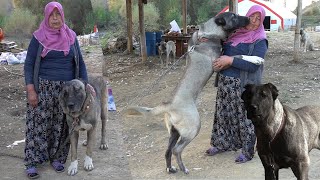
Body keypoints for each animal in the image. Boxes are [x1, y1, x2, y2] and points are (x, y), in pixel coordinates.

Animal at [124, 11, 251, 174]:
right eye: (234, 16)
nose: (248, 18)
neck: (209, 34)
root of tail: (169, 105)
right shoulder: (219, 62)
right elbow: (237, 56)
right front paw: (256, 59)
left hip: (174, 132)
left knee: (168, 151)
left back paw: (171, 168)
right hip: (193, 127)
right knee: (177, 149)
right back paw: (183, 168)